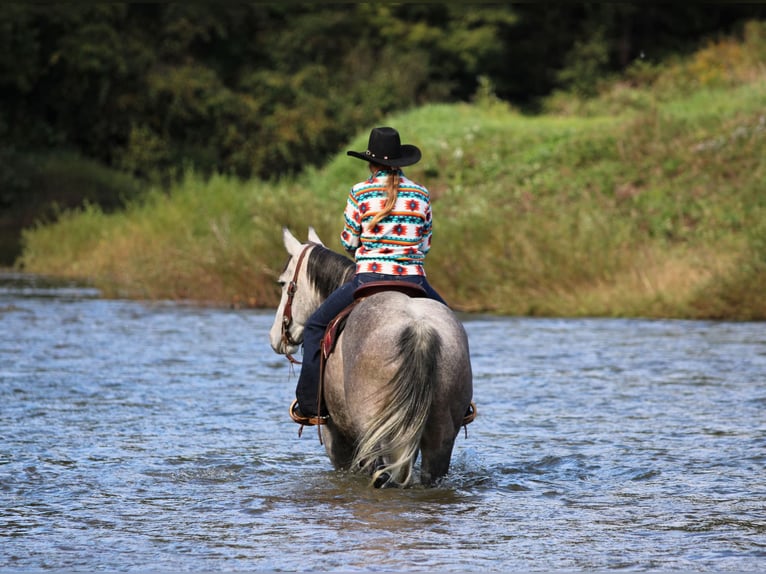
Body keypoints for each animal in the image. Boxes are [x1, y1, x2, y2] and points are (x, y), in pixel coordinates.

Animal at [269, 227, 474, 488]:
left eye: (283, 283)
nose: (276, 336)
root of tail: (419, 329)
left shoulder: (337, 438)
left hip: (372, 435)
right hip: (439, 435)